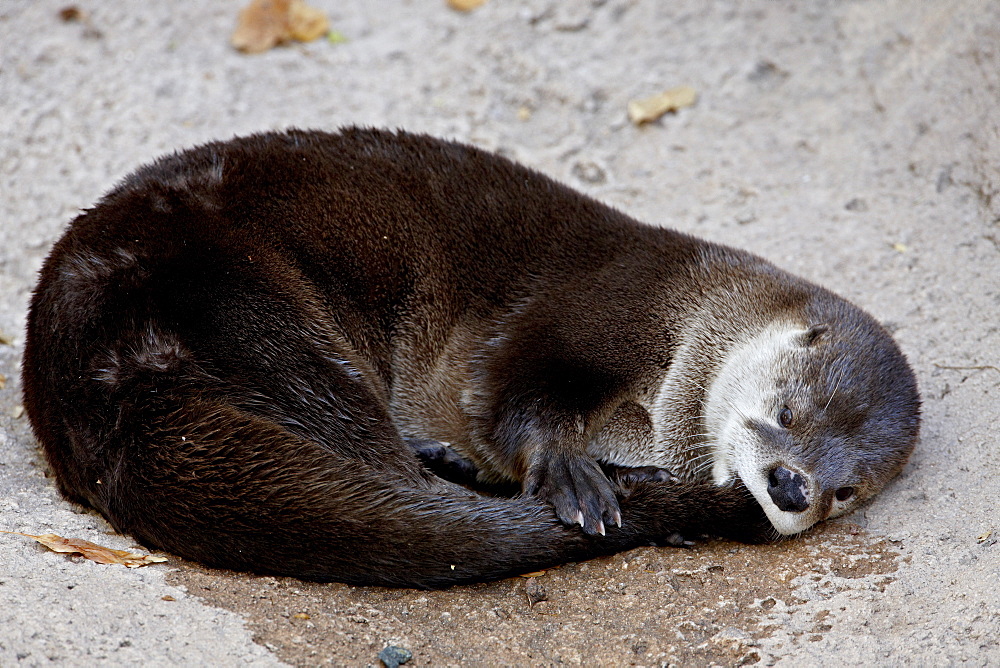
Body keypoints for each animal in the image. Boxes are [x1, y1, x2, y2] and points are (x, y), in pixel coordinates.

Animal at [19, 128, 916, 588]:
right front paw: (569, 470)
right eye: (786, 409)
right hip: (262, 311)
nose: (791, 488)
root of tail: (86, 380)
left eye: (845, 490)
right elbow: (511, 389)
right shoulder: (596, 307)